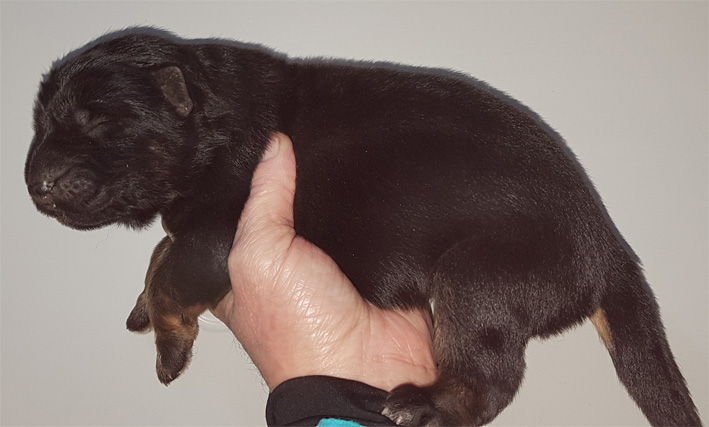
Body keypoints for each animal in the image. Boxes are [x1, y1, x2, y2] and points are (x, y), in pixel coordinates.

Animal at [25, 29, 701, 426]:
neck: (213, 121)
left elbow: (172, 275)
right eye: (40, 122)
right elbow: (160, 257)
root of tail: (609, 249)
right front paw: (141, 305)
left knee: (491, 379)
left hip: (481, 274)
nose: (36, 184)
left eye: (98, 122)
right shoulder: (190, 225)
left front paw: (169, 346)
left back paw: (428, 407)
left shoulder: (219, 232)